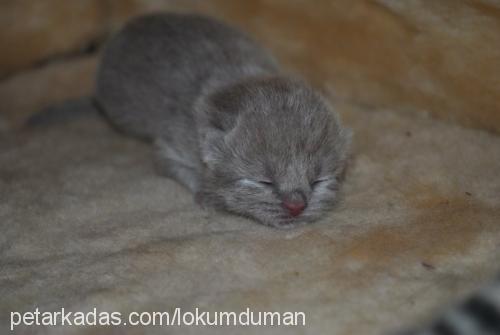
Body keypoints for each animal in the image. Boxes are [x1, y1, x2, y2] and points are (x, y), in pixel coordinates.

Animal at [94, 13, 352, 228]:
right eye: (264, 181)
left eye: (318, 180)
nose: (296, 206)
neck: (236, 78)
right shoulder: (173, 141)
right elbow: (166, 162)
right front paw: (206, 192)